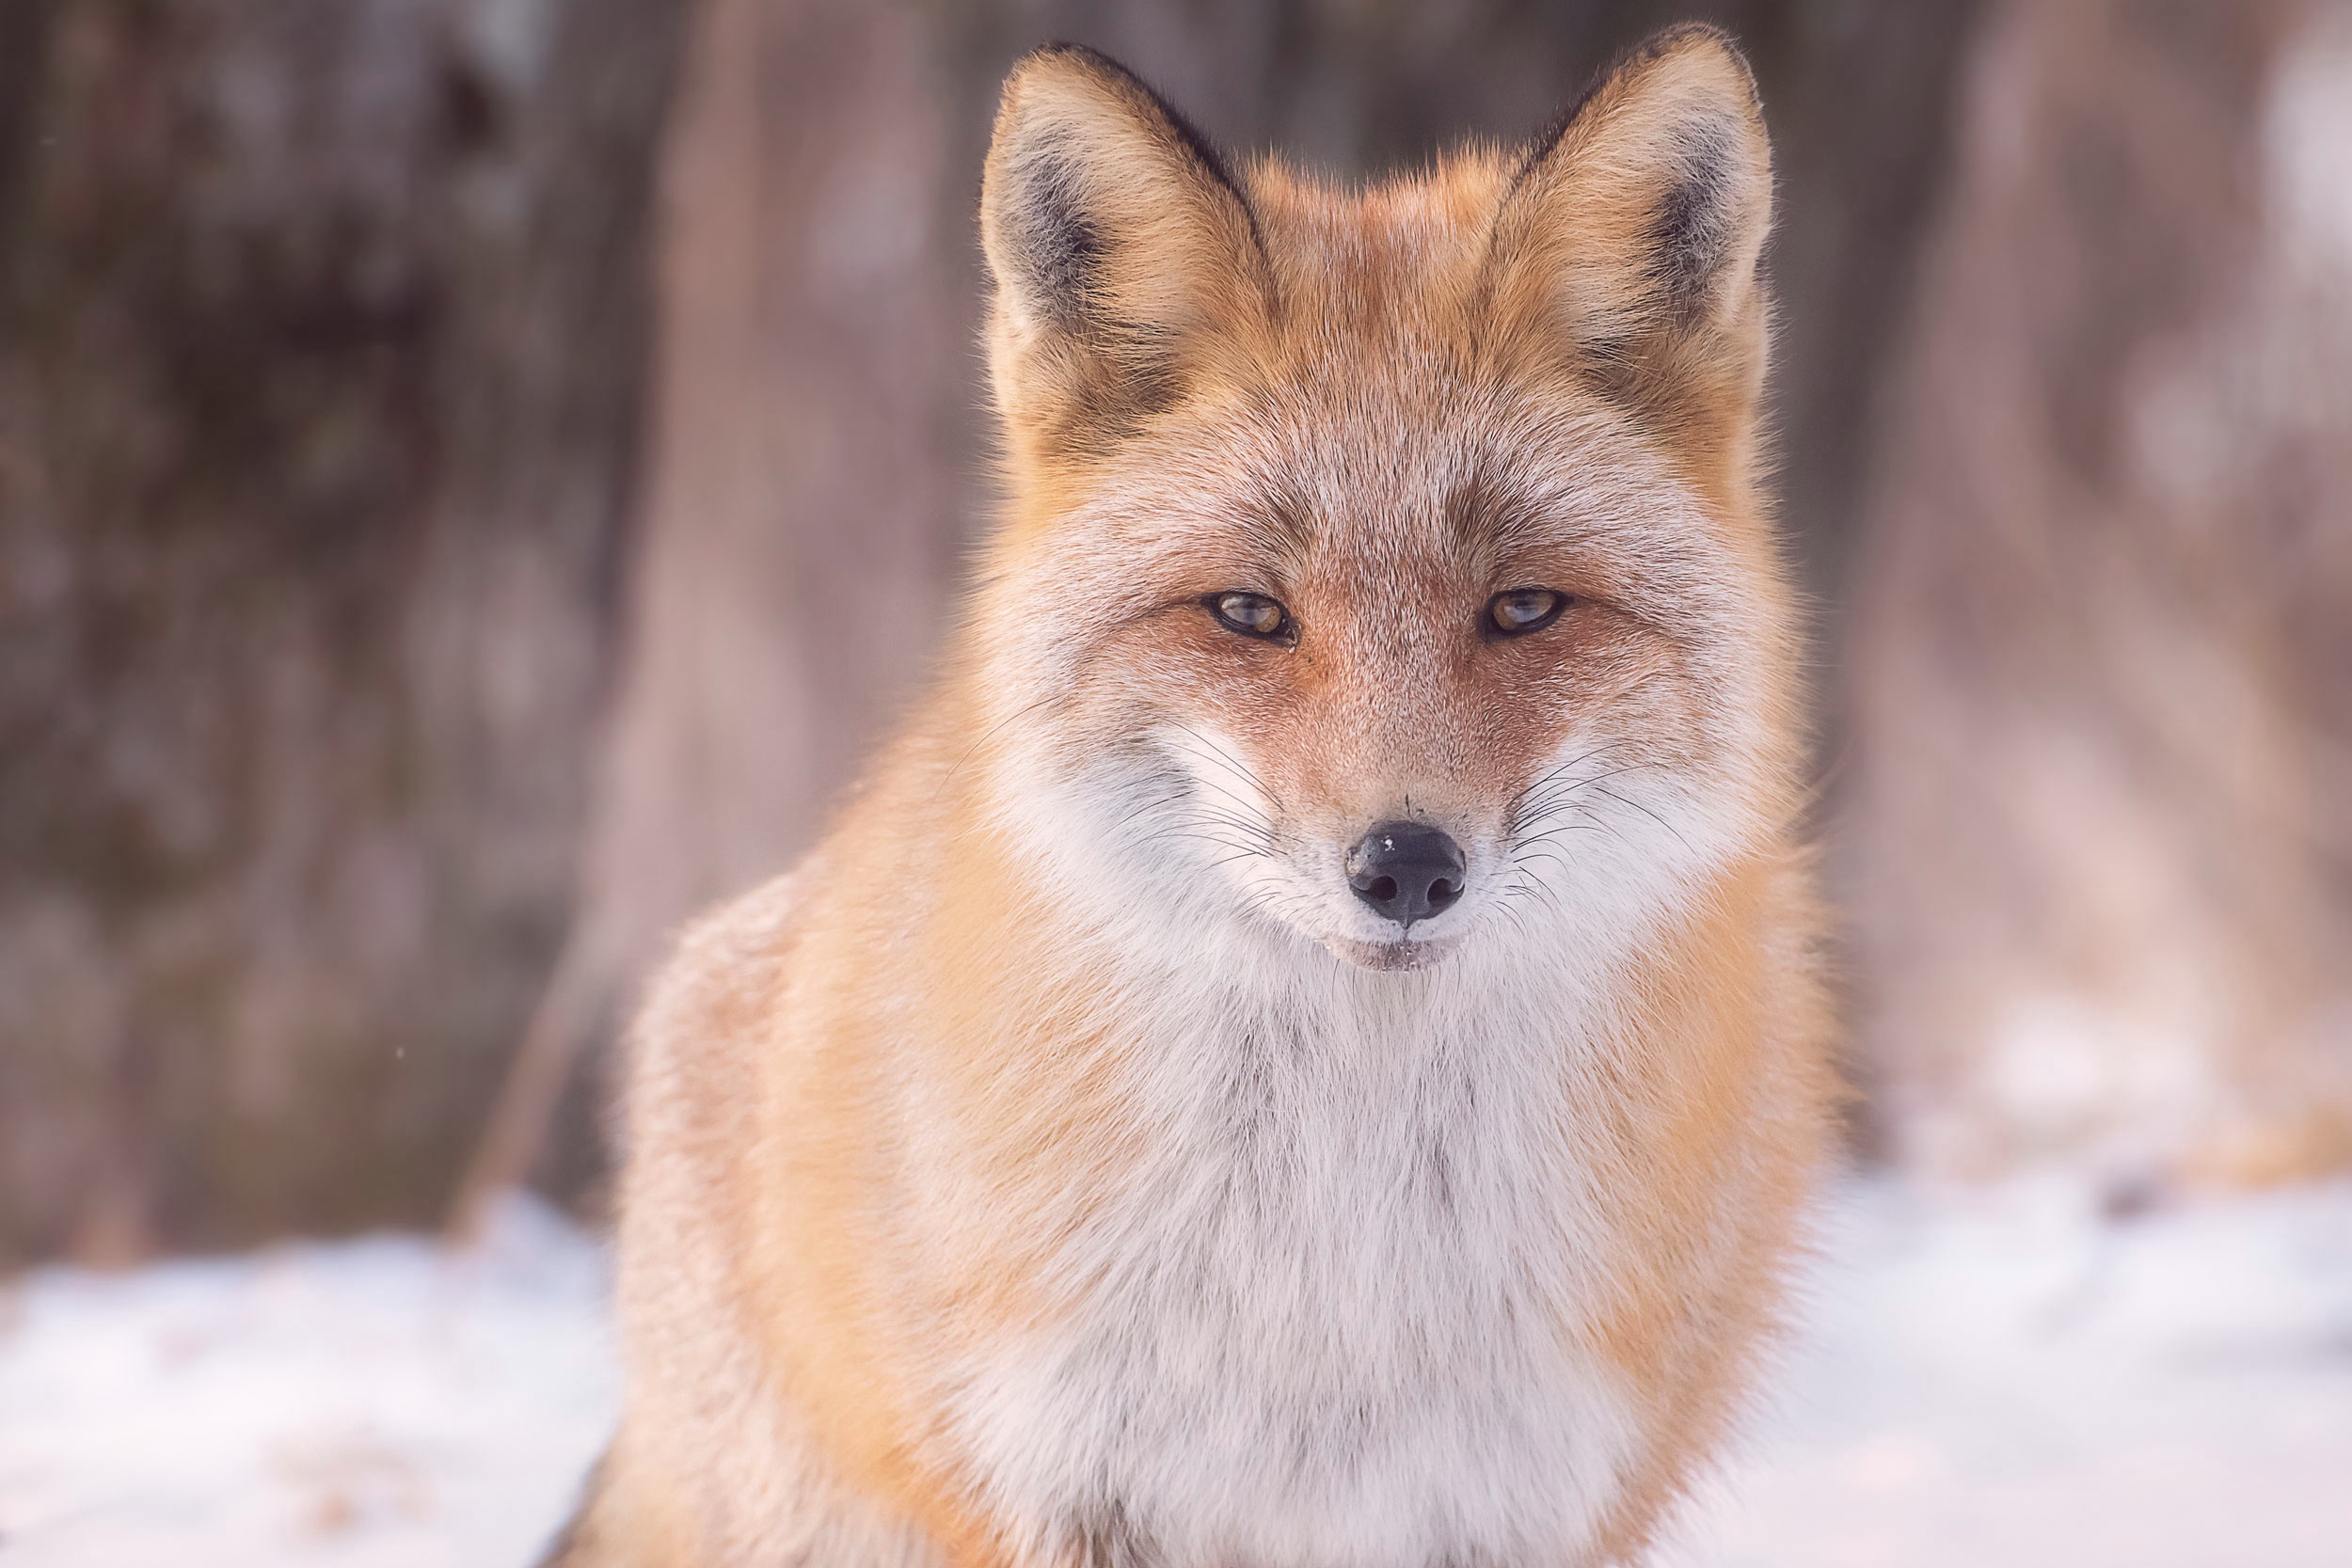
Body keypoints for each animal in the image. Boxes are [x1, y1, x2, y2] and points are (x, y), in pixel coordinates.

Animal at [555, 24, 1835, 1568]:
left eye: (1524, 608)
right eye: (1247, 613)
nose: (1406, 864)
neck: (1335, 1270)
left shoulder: (1512, 1499)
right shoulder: (1061, 1476)